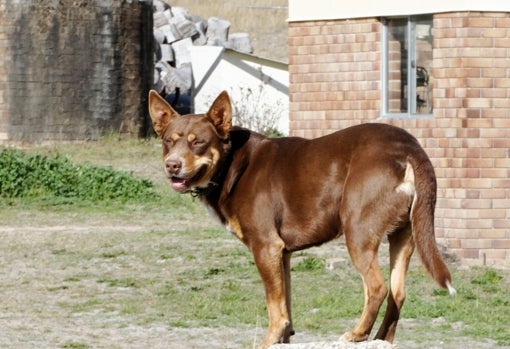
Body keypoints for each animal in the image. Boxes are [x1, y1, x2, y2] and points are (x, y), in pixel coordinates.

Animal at [146, 90, 454, 348]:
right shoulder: (282, 254)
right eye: (168, 142)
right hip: (405, 234)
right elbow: (286, 303)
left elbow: (274, 306)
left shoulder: (265, 246)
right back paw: (380, 339)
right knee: (397, 293)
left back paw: (356, 334)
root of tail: (410, 148)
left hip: (357, 230)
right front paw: (284, 337)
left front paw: (269, 340)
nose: (172, 165)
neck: (231, 163)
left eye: (198, 142)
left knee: (377, 288)